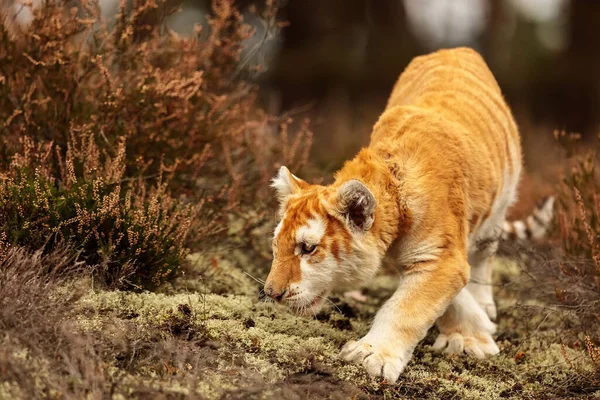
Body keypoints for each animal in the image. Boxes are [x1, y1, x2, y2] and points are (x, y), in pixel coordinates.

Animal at [262, 46, 552, 382]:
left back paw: (485, 304)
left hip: (498, 208)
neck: (391, 181)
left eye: (308, 248)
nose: (272, 293)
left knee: (483, 258)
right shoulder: (422, 255)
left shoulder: (439, 255)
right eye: (276, 246)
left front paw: (372, 355)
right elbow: (443, 295)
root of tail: (454, 48)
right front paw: (472, 332)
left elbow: (405, 308)